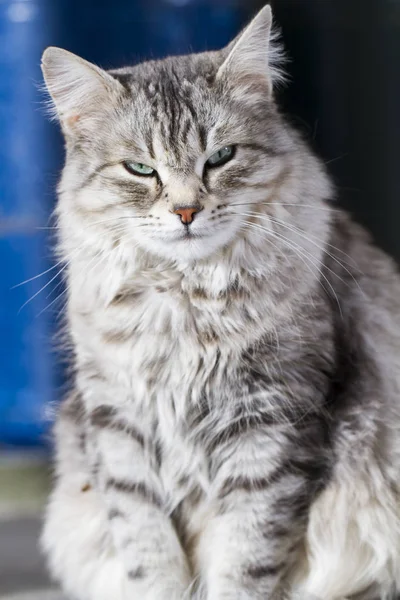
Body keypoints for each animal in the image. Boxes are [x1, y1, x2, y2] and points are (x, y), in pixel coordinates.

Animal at [39, 5, 400, 600]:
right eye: (141, 169)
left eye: (222, 157)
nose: (186, 212)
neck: (184, 302)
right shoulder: (119, 423)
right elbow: (148, 551)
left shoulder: (271, 422)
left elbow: (244, 556)